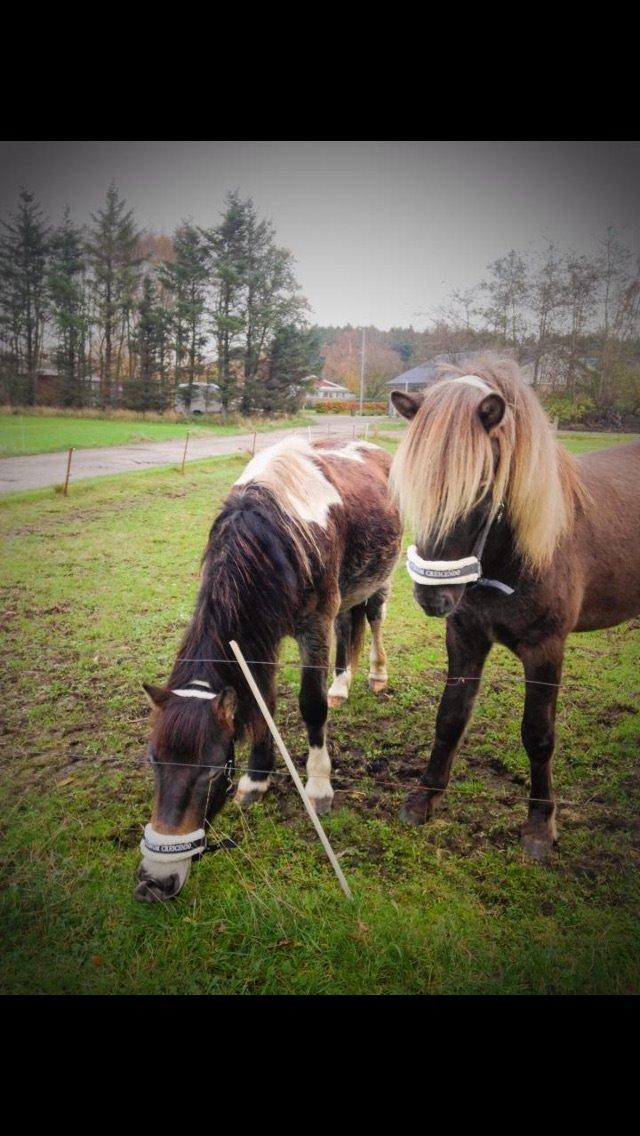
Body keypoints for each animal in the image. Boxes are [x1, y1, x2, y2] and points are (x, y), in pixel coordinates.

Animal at [137, 438, 402, 899]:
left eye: (212, 771)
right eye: (154, 762)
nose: (154, 882)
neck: (273, 532)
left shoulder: (312, 627)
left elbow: (311, 705)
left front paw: (318, 786)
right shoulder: (263, 634)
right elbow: (263, 704)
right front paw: (256, 779)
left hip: (378, 580)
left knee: (373, 618)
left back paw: (376, 675)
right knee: (348, 624)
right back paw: (342, 684)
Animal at [391, 354, 640, 858]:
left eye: (482, 486)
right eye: (415, 486)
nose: (432, 596)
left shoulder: (546, 649)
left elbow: (538, 735)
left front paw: (541, 825)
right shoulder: (465, 637)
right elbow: (450, 717)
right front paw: (424, 799)